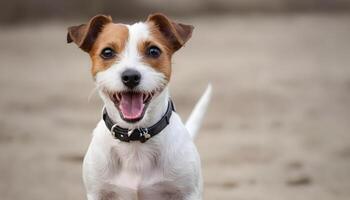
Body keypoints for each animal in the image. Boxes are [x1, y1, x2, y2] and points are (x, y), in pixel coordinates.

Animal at [67, 13, 212, 199]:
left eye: (153, 51)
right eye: (107, 52)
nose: (130, 76)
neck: (134, 137)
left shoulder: (188, 193)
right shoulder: (97, 193)